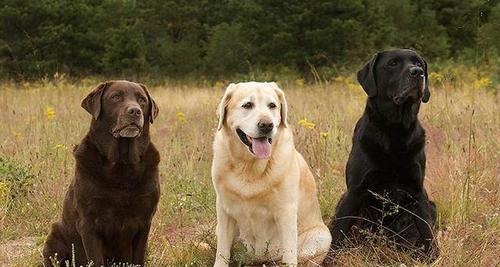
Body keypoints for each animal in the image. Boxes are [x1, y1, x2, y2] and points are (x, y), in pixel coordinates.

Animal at [330, 48, 440, 262]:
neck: (395, 131)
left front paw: (433, 257)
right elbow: (337, 232)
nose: (417, 73)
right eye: (393, 63)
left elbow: (426, 231)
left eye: (419, 64)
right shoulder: (354, 191)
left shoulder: (417, 191)